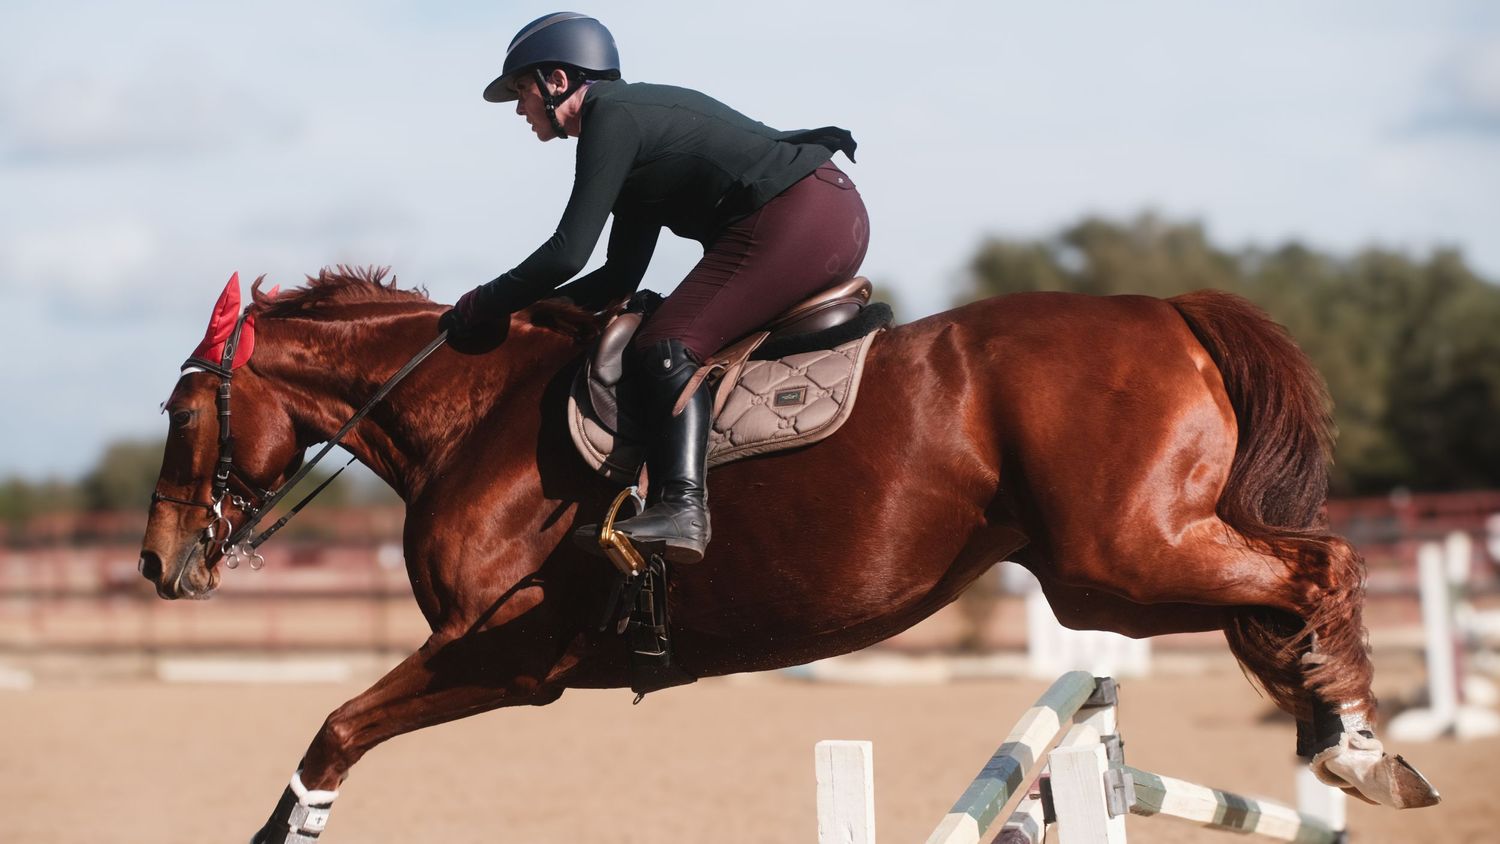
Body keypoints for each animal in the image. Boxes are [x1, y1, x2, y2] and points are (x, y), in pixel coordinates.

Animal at [138, 268, 1438, 842]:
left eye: (181, 408)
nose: (158, 564)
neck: (478, 414)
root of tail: (1166, 309)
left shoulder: (504, 655)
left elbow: (335, 731)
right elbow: (341, 726)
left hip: (1119, 559)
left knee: (1319, 570)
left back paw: (1353, 744)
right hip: (1125, 560)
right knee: (1296, 584)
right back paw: (1350, 741)